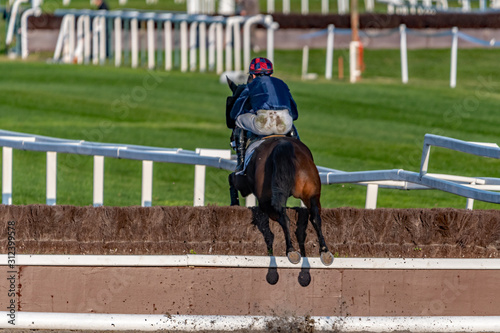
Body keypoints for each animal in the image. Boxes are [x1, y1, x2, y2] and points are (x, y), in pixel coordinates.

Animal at [226, 77, 334, 264]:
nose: (232, 139)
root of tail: (283, 145)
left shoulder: (243, 182)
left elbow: (231, 178)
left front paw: (234, 203)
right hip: (312, 192)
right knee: (315, 216)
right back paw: (324, 251)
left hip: (266, 199)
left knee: (283, 216)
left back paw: (291, 251)